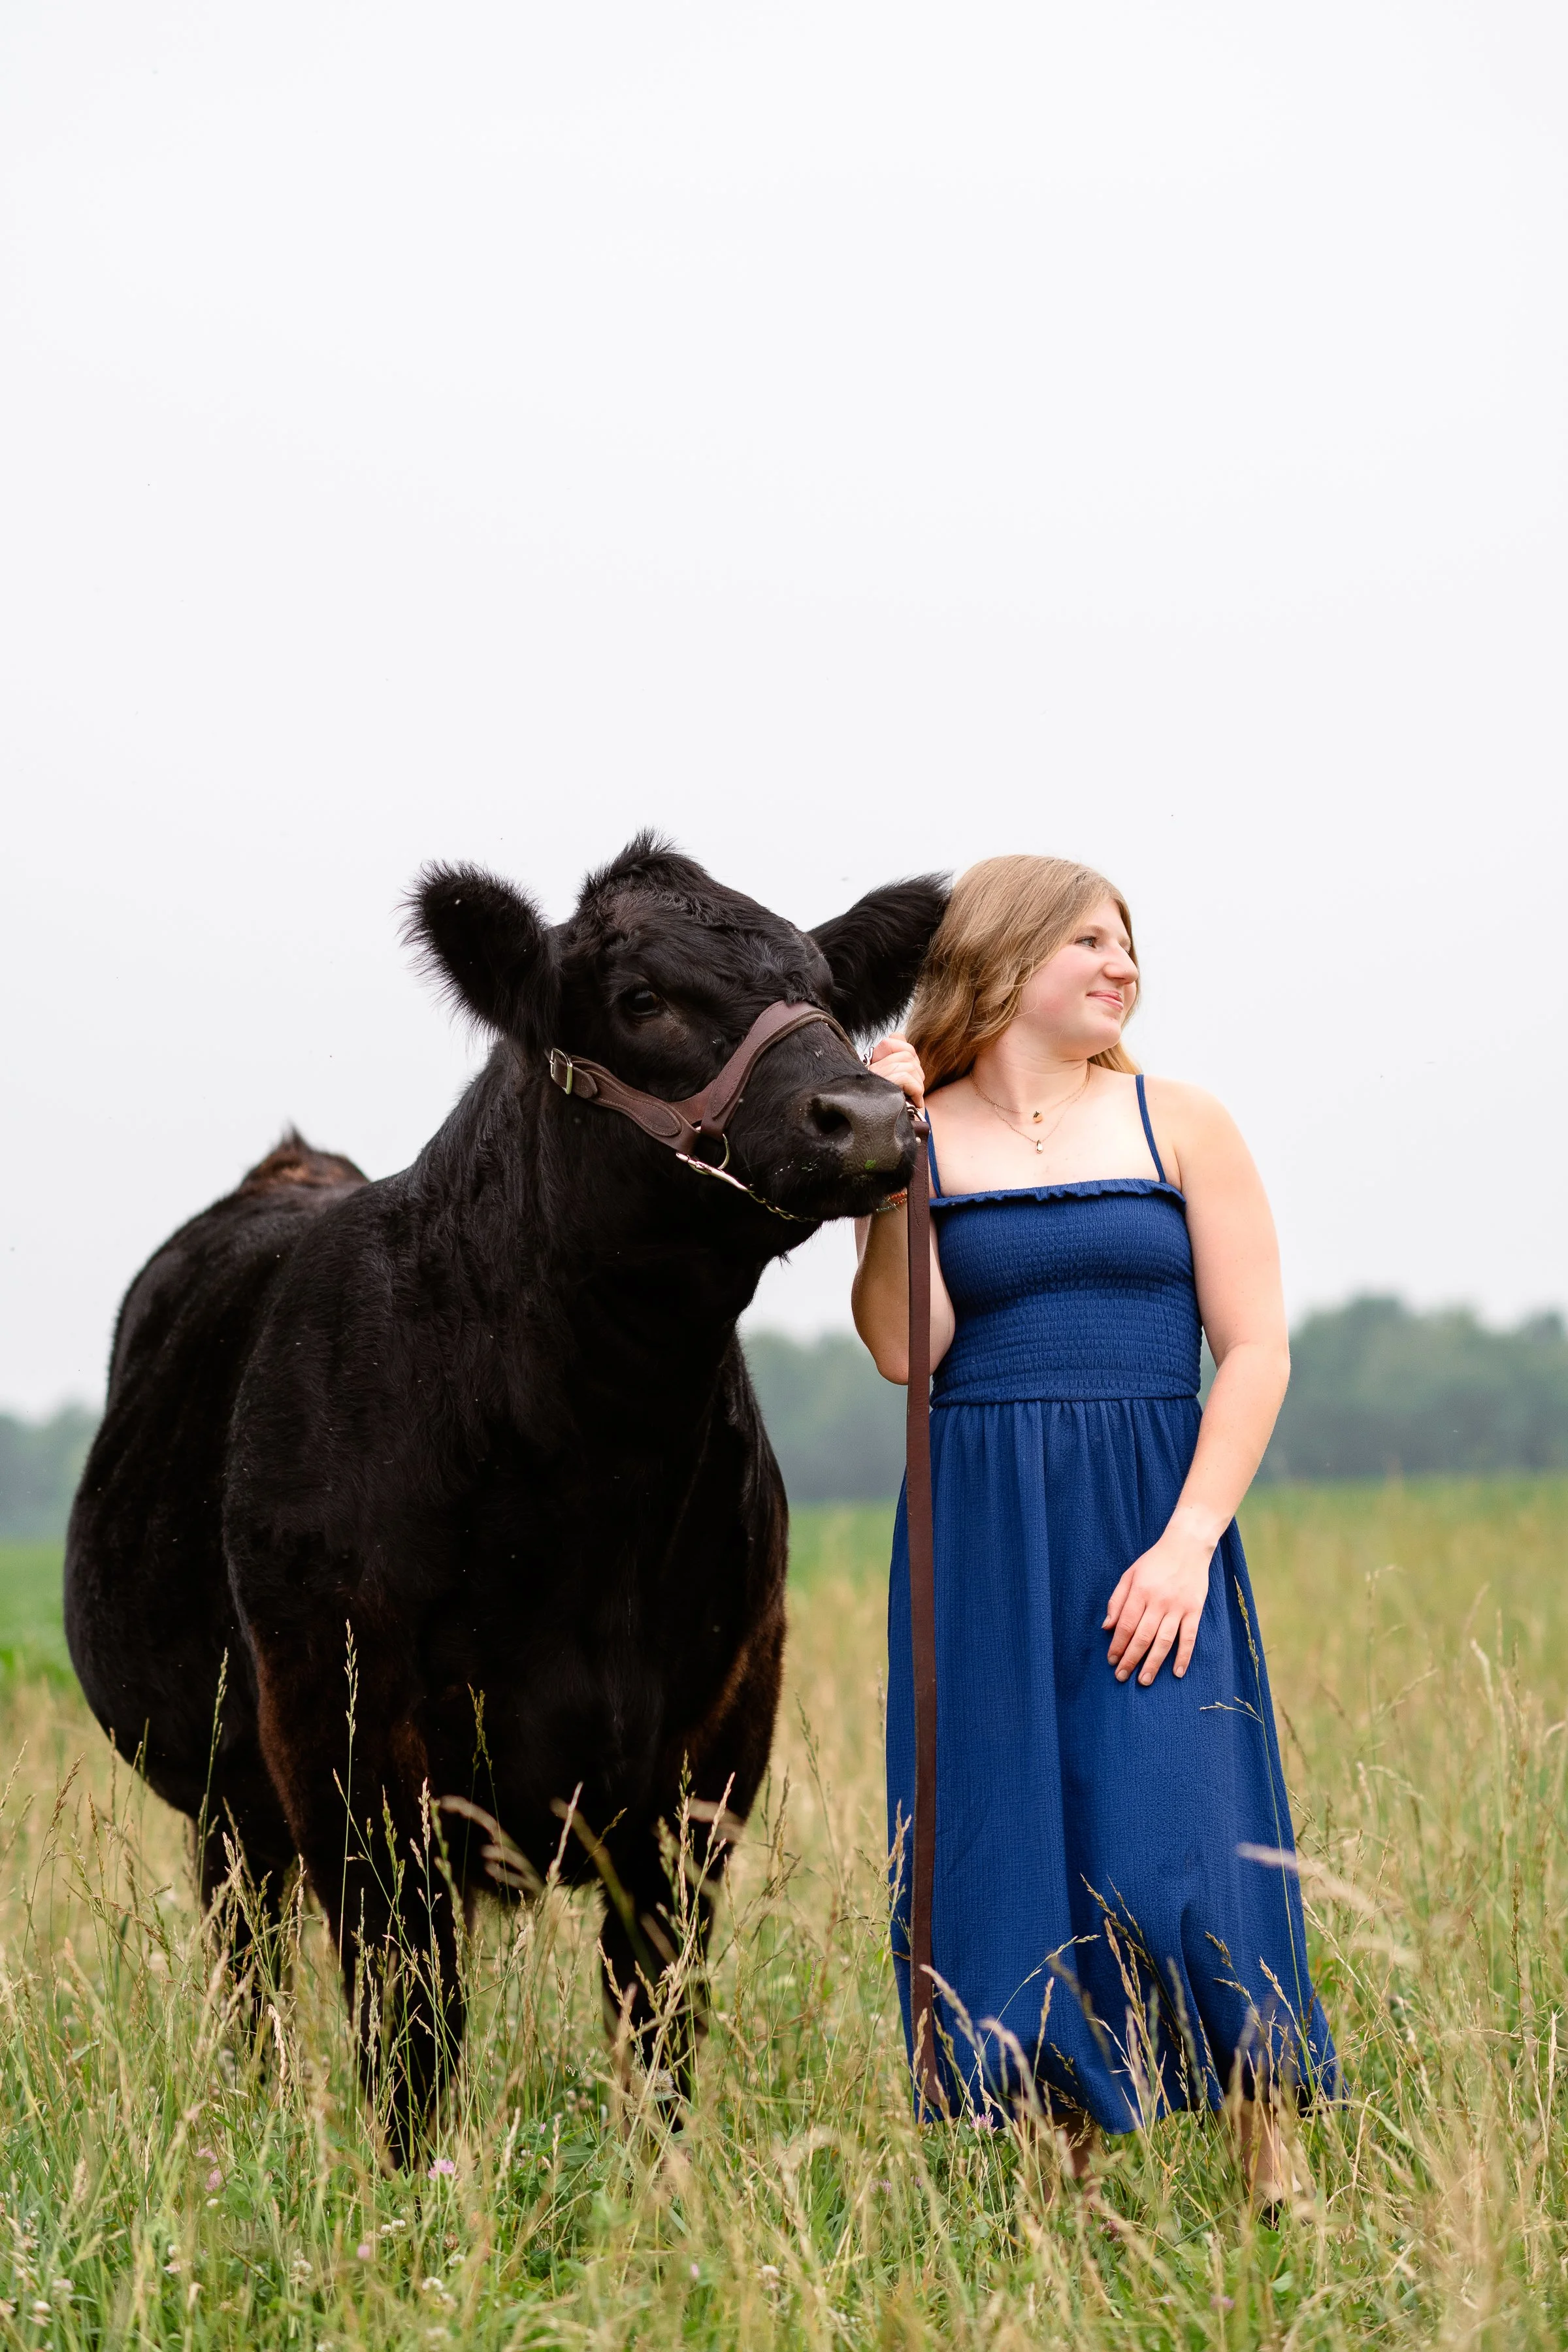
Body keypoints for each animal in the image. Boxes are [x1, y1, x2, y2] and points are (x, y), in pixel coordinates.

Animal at [65, 835, 944, 2161]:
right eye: (640, 998)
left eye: (828, 994)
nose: (872, 1118)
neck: (595, 1468)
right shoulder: (353, 1750)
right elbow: (410, 2035)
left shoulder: (710, 1752)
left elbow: (656, 2025)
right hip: (228, 1802)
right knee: (249, 1975)